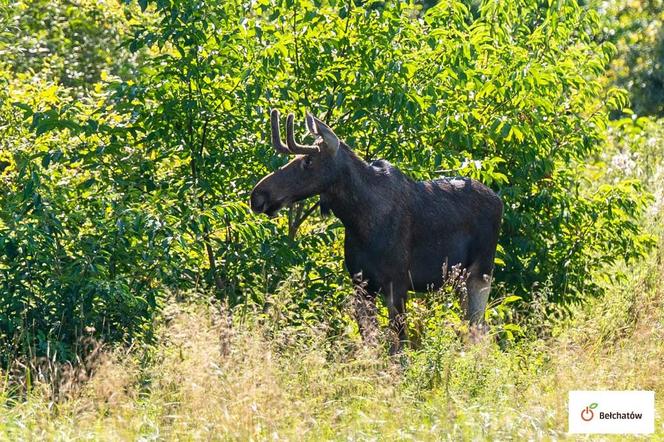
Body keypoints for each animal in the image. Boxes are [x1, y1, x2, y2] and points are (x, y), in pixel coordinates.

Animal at [252, 110, 500, 352]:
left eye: (308, 160)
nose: (258, 195)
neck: (358, 220)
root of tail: (500, 201)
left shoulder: (397, 283)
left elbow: (399, 347)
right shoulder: (361, 283)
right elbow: (370, 342)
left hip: (480, 272)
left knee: (479, 328)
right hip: (459, 280)